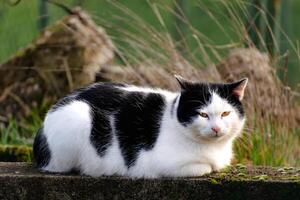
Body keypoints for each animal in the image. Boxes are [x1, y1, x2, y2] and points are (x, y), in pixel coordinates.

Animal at [33, 76, 248, 178]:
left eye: (225, 113)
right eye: (203, 114)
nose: (216, 128)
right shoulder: (160, 163)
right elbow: (206, 167)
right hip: (78, 116)